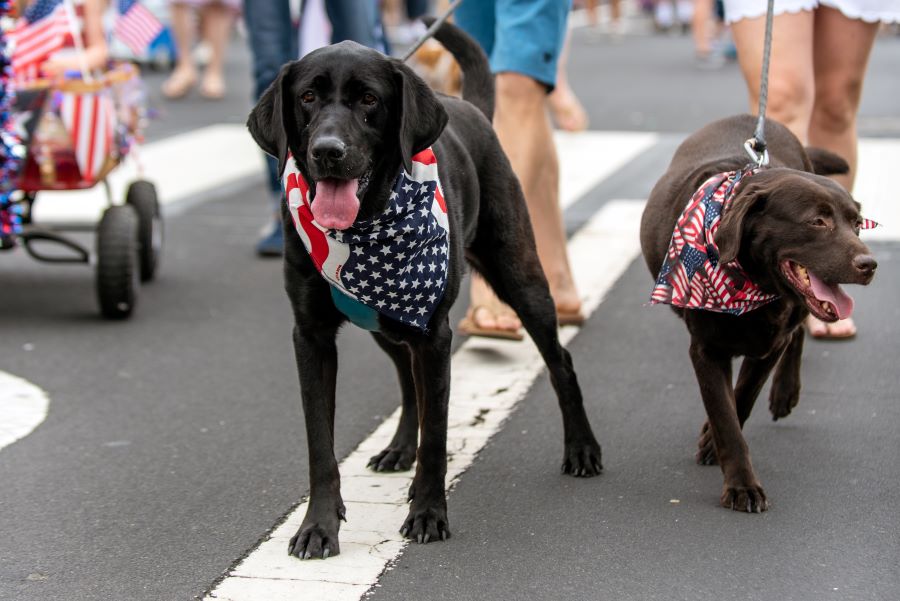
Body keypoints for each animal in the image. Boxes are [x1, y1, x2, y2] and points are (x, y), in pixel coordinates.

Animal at [246, 23, 600, 556]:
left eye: (369, 99)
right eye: (307, 97)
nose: (327, 151)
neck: (365, 225)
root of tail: (470, 107)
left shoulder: (434, 335)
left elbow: (436, 436)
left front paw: (429, 513)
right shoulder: (311, 337)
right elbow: (320, 444)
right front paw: (318, 526)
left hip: (521, 279)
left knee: (560, 361)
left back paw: (581, 447)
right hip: (385, 324)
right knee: (406, 379)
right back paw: (398, 449)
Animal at [640, 116, 880, 510]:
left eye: (857, 223)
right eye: (817, 221)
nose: (869, 264)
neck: (751, 283)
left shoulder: (770, 345)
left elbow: (742, 398)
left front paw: (712, 445)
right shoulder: (706, 351)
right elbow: (725, 416)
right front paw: (741, 486)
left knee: (799, 331)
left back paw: (786, 392)